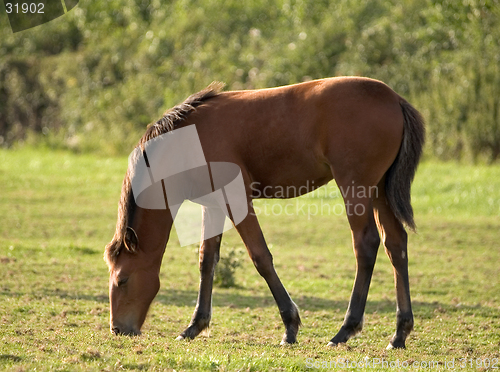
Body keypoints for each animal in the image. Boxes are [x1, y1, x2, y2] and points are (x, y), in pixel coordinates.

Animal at [103, 76, 424, 348]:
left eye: (122, 280)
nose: (118, 329)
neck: (187, 142)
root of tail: (394, 99)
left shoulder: (237, 200)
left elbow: (260, 258)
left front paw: (290, 326)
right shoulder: (213, 205)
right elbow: (207, 262)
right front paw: (194, 326)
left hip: (356, 189)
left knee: (366, 245)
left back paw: (345, 329)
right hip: (380, 191)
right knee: (396, 244)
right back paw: (399, 333)